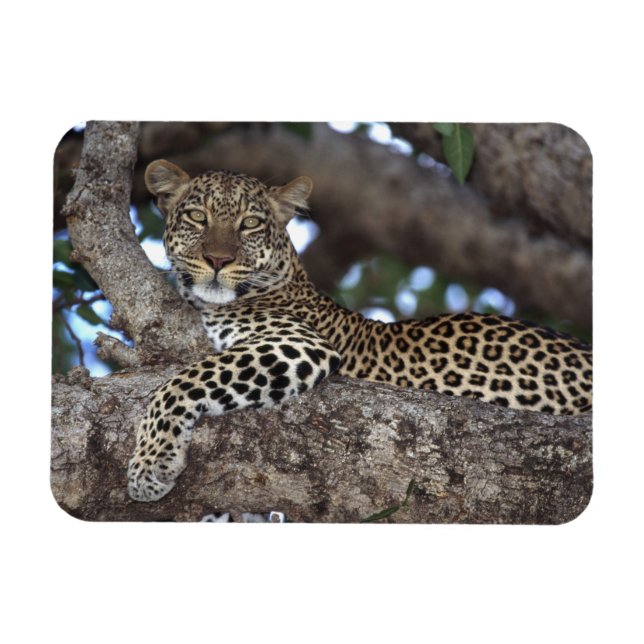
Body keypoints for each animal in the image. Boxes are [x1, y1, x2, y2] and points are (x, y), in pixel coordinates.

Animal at [127, 160, 592, 502]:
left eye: (250, 224)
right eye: (196, 217)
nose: (218, 260)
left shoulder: (298, 344)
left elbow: (181, 382)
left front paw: (149, 466)